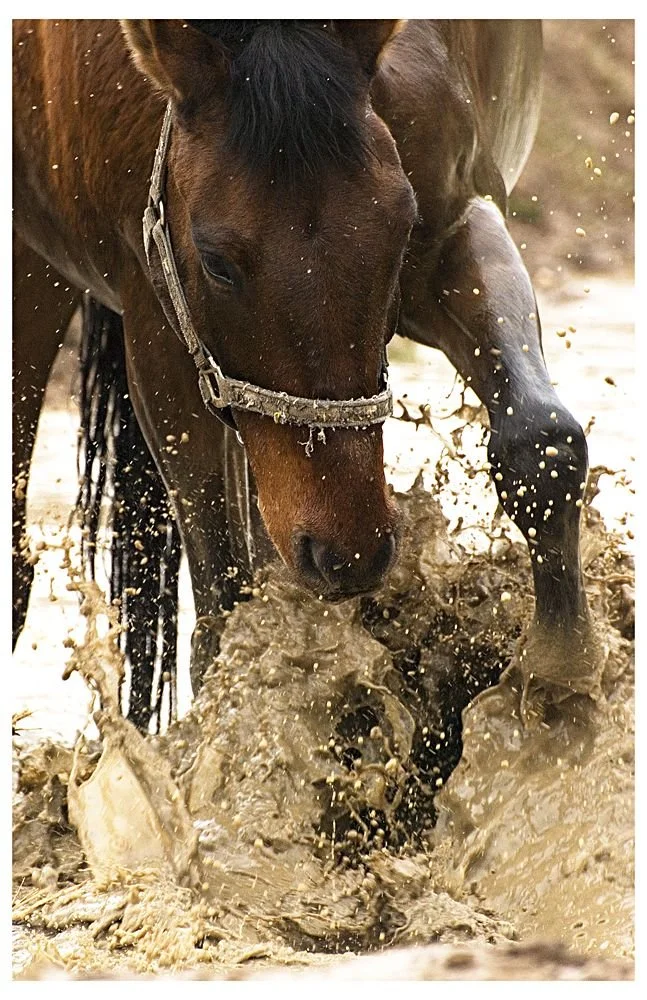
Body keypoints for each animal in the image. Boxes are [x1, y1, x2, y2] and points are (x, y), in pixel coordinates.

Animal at [13, 19, 601, 732]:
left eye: (400, 229)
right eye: (216, 261)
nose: (350, 551)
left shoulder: (454, 225)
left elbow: (542, 442)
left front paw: (559, 676)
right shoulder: (155, 318)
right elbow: (222, 603)